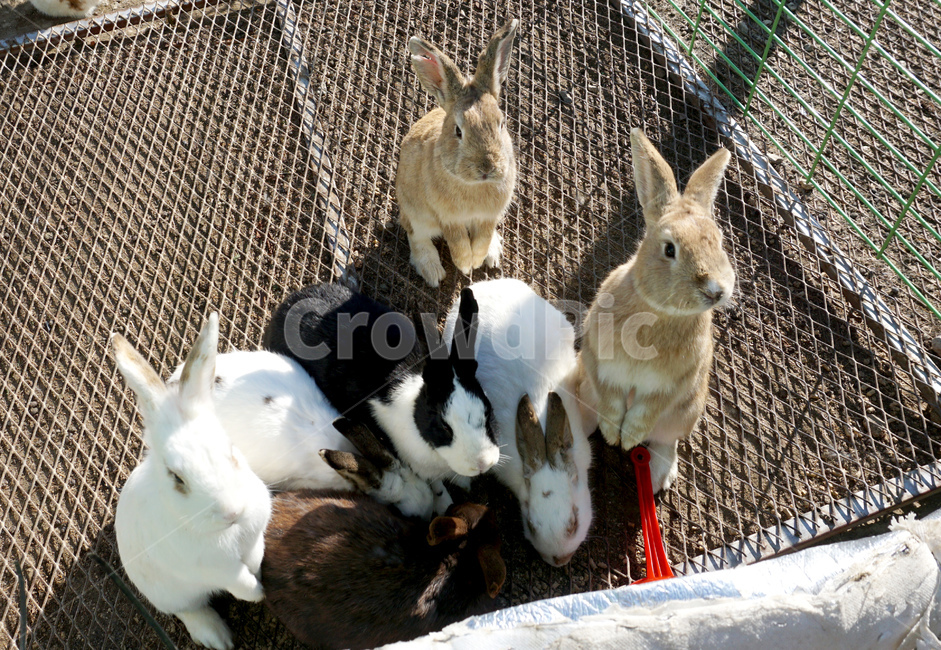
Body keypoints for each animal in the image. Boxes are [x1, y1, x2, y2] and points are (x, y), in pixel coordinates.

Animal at [111, 313, 271, 650]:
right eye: (177, 477)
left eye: (231, 450)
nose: (232, 512)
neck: (228, 531)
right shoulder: (217, 569)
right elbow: (240, 582)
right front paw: (258, 594)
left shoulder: (255, 537)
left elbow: (255, 557)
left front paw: (259, 575)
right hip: (171, 594)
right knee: (189, 610)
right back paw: (218, 637)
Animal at [261, 283, 499, 512]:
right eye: (444, 426)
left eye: (487, 410)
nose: (483, 463)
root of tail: (289, 303)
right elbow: (435, 485)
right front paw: (444, 504)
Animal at [396, 19, 520, 287]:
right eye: (458, 131)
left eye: (502, 123)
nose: (487, 168)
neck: (473, 185)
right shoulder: (448, 217)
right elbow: (458, 242)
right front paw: (465, 265)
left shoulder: (488, 217)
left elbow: (482, 238)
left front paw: (477, 260)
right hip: (416, 213)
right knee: (416, 235)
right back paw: (432, 271)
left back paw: (493, 254)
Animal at [578, 127, 735, 494]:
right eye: (669, 249)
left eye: (719, 242)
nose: (715, 290)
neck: (660, 311)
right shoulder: (599, 362)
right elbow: (610, 399)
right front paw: (614, 435)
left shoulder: (673, 386)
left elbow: (647, 412)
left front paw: (628, 438)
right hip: (585, 388)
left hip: (685, 412)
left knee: (666, 440)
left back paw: (659, 477)